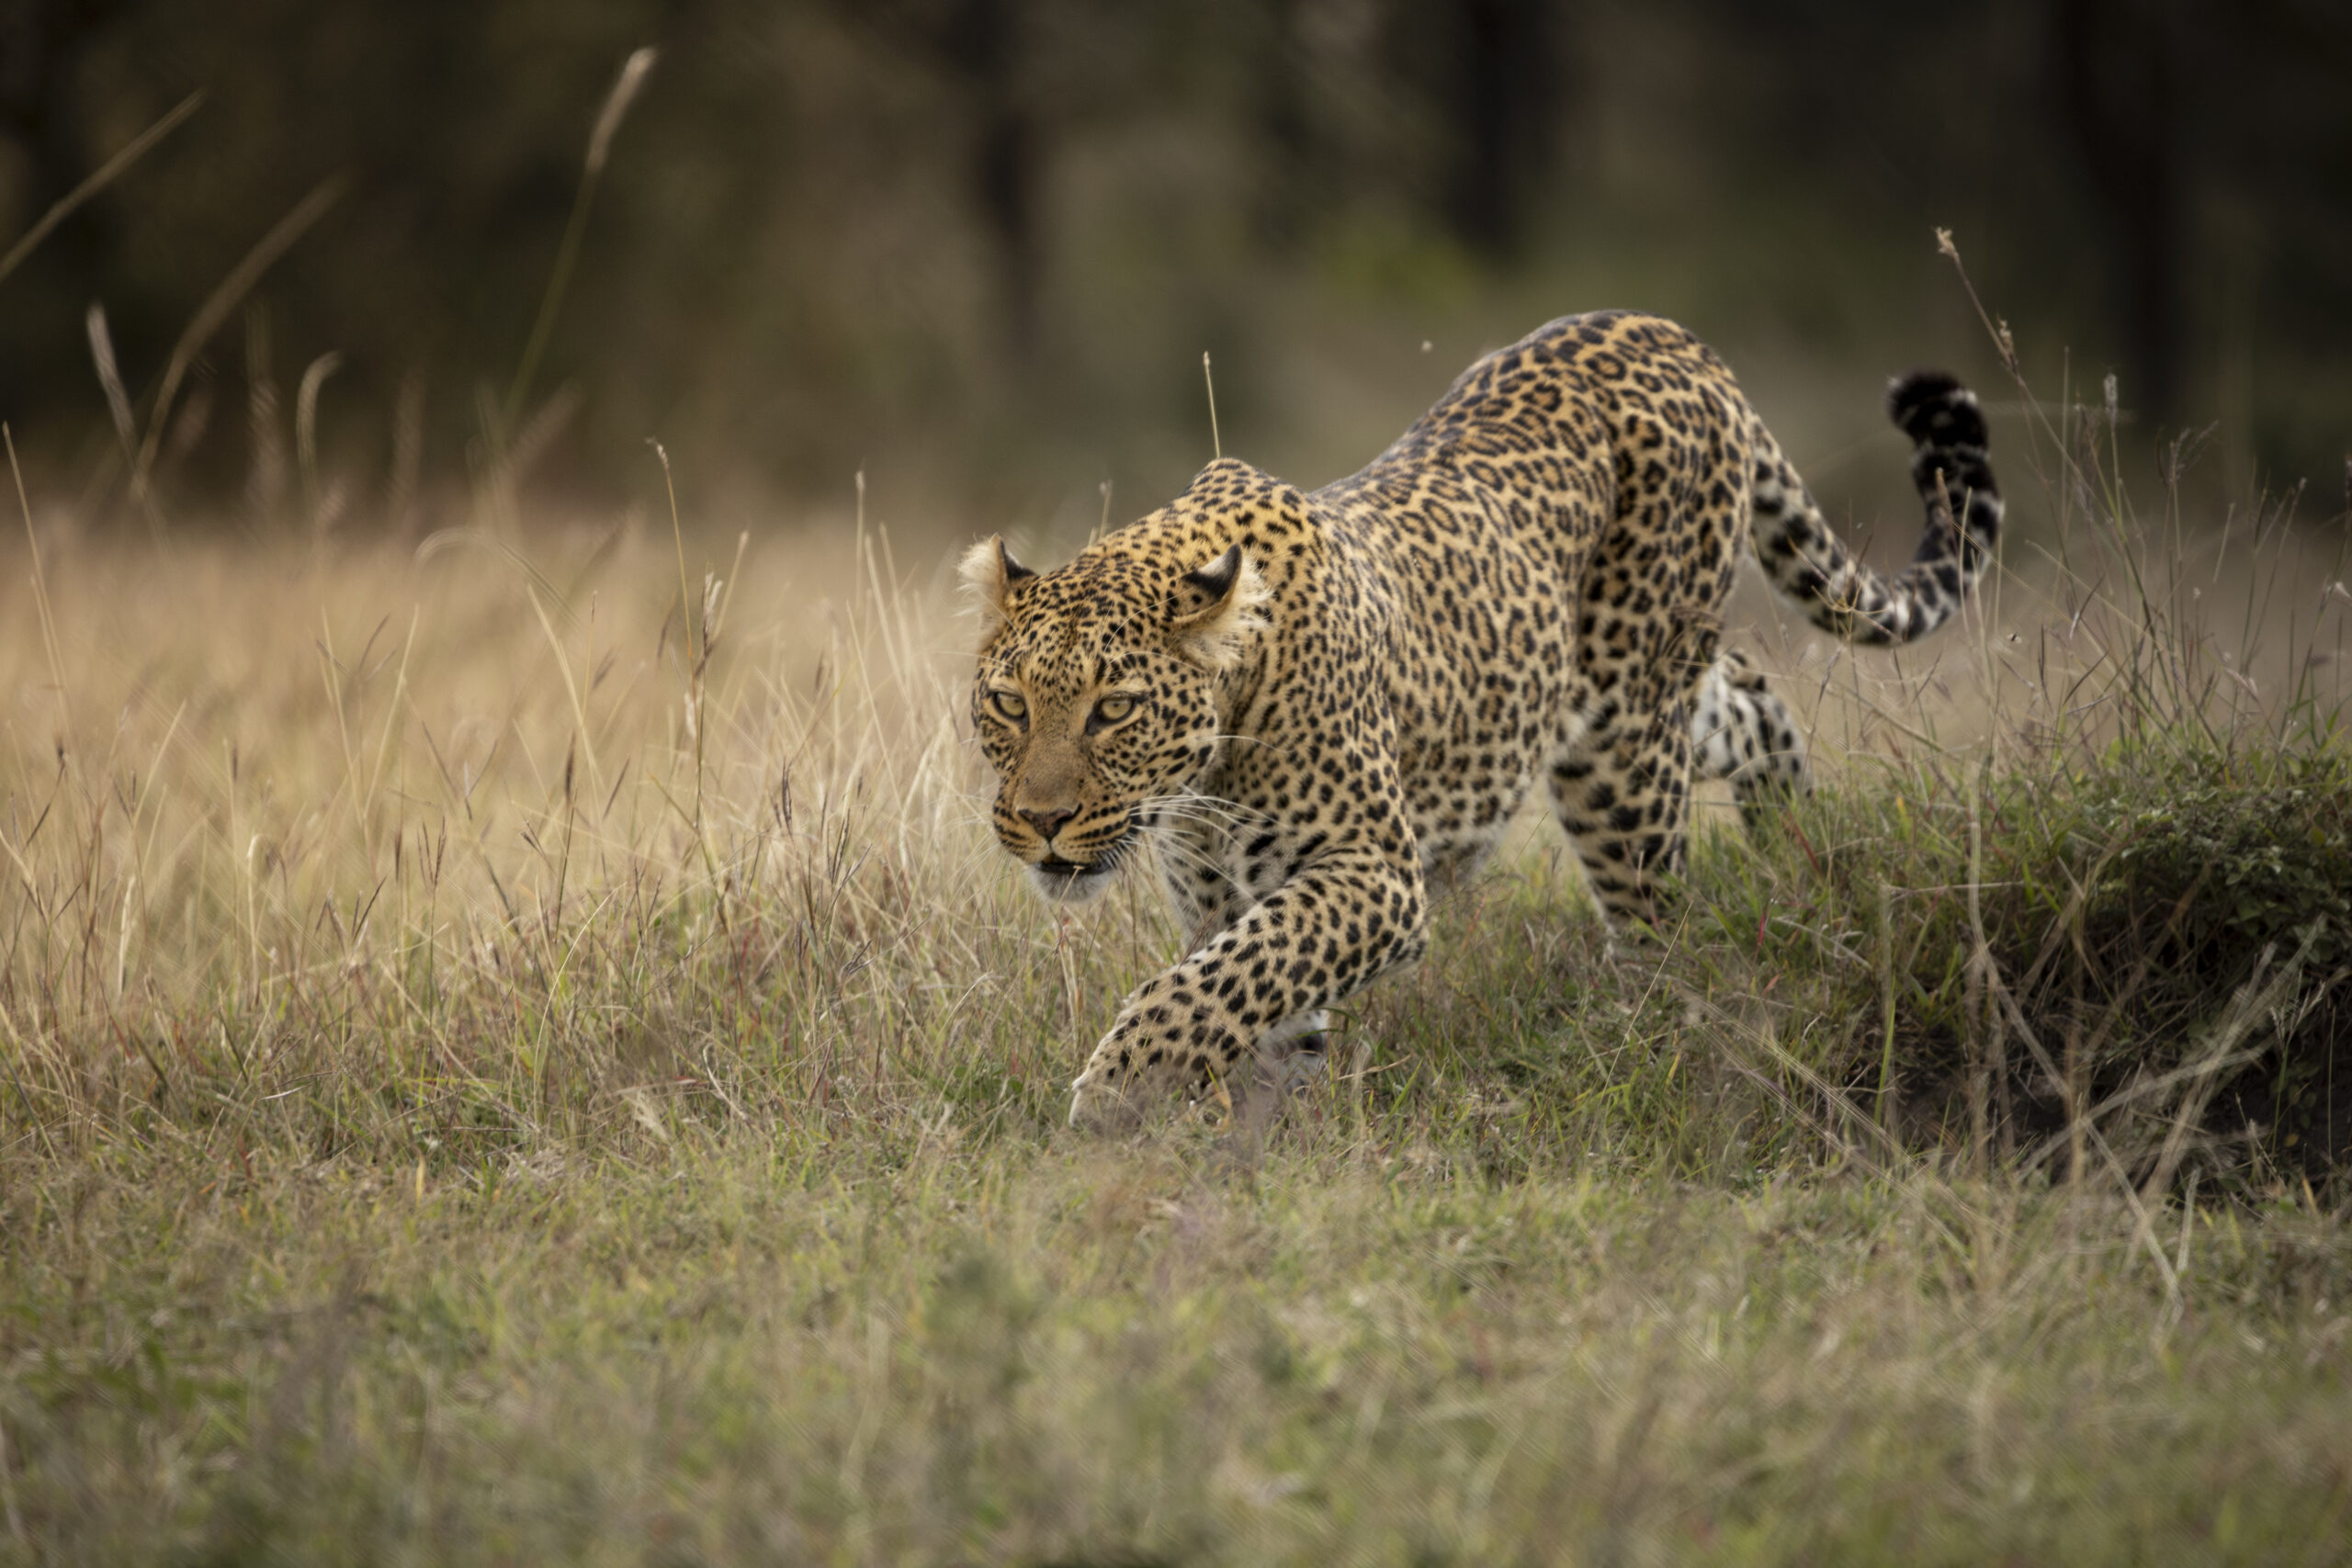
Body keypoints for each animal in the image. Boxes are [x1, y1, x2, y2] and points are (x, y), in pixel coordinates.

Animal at [959, 310, 2004, 1128]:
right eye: (1010, 704)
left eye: (1113, 710)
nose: (1041, 822)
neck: (1206, 772)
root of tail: (1670, 334)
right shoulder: (1227, 894)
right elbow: (1254, 1001)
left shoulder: (1374, 874)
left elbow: (1213, 982)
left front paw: (1113, 1092)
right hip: (1632, 700)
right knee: (1751, 700)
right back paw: (1798, 838)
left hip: (1622, 748)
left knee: (1660, 922)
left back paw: (1652, 1046)